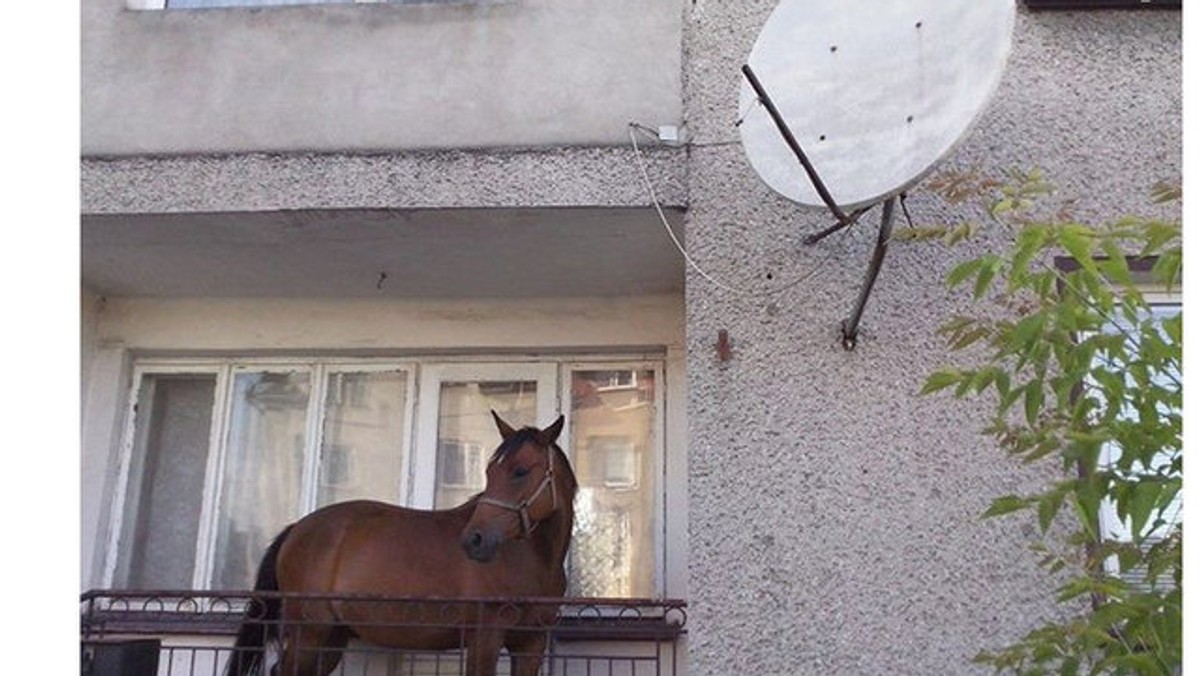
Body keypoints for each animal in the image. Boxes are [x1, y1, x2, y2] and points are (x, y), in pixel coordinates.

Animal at [229, 413, 580, 676]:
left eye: (520, 471)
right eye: (489, 472)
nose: (474, 540)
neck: (533, 560)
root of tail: (295, 529)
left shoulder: (531, 644)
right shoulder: (485, 638)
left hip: (329, 639)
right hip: (308, 633)